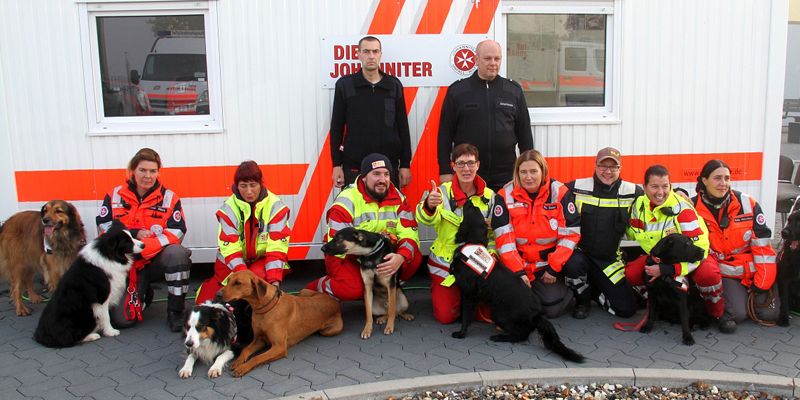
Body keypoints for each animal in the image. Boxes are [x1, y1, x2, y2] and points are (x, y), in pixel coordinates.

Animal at [32, 220, 143, 348]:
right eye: (127, 241)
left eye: (131, 236)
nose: (143, 245)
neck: (107, 255)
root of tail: (42, 336)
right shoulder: (102, 297)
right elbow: (106, 315)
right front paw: (110, 331)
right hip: (84, 313)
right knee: (70, 339)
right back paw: (92, 335)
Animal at [454, 202, 584, 364]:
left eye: (471, 209)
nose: (470, 201)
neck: (473, 245)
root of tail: (537, 313)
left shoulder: (468, 293)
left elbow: (466, 315)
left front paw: (461, 333)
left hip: (499, 314)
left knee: (521, 335)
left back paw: (499, 337)